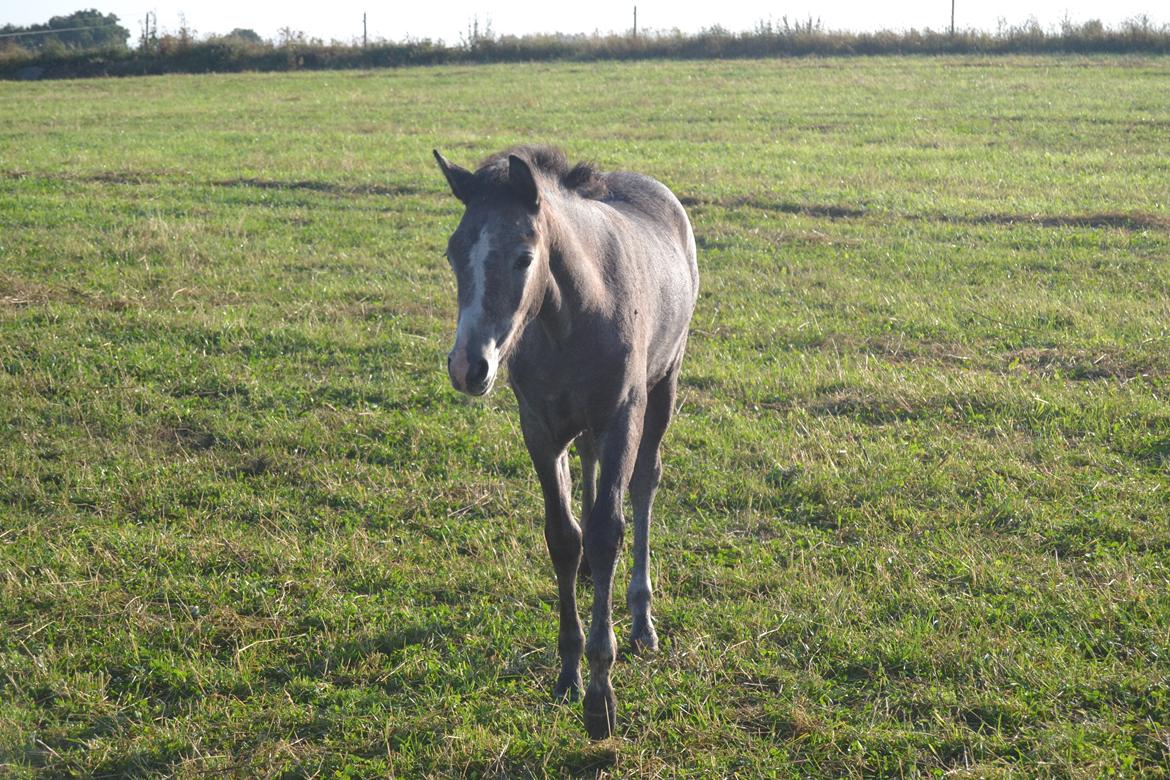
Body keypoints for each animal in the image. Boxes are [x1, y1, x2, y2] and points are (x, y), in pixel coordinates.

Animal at [435, 145, 697, 739]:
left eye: (524, 258)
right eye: (454, 254)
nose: (468, 367)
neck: (571, 318)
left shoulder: (624, 416)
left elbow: (605, 533)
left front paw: (600, 695)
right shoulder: (539, 428)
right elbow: (563, 536)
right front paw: (568, 672)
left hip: (664, 384)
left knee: (644, 484)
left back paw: (642, 619)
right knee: (591, 465)